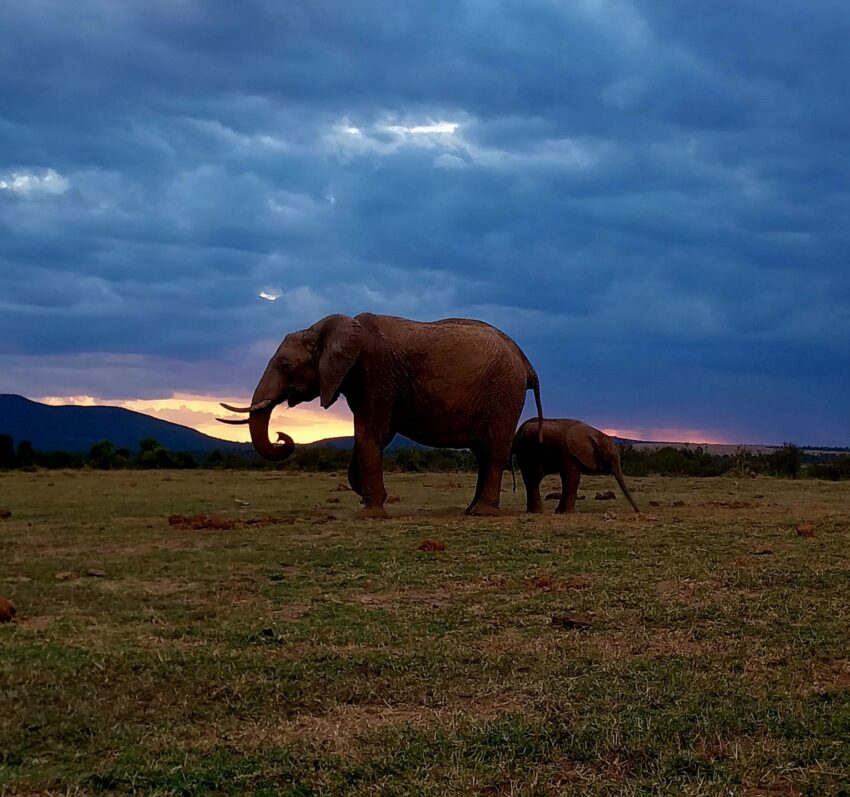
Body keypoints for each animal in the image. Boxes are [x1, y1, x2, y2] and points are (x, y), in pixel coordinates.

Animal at [219, 313, 543, 517]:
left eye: (285, 366)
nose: (281, 436)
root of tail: (527, 362)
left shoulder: (375, 374)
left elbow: (370, 434)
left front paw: (371, 511)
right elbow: (371, 436)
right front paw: (369, 498)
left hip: (504, 391)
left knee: (493, 449)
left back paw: (481, 513)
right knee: (483, 453)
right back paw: (470, 510)